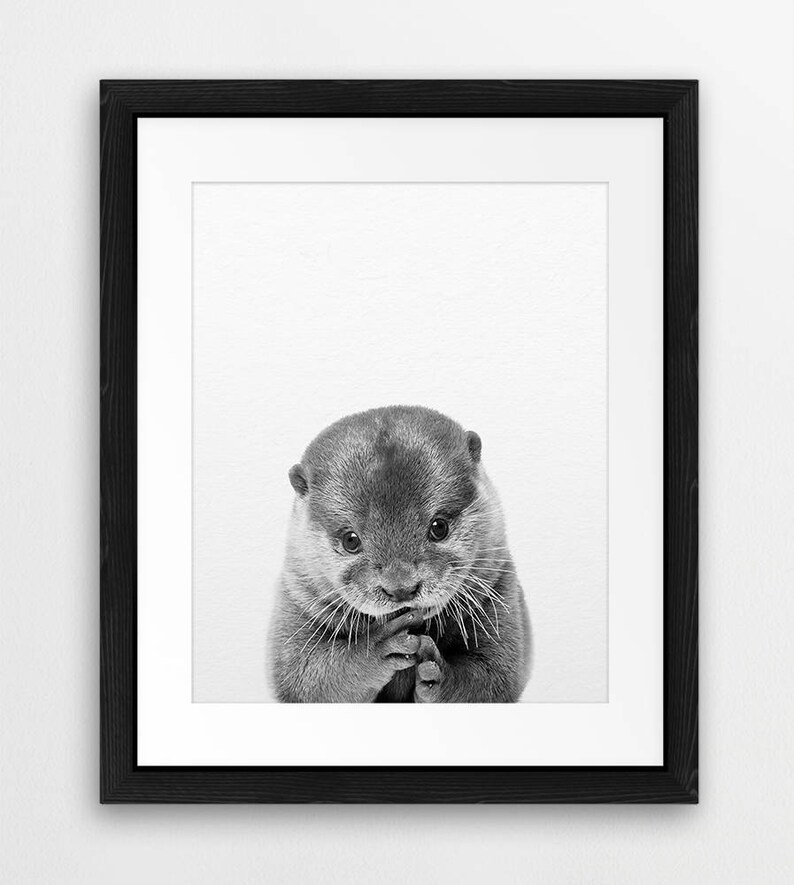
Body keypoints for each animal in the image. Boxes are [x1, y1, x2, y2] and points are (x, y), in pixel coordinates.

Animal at [268, 405, 531, 703]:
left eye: (439, 527)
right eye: (351, 540)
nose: (401, 588)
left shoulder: (500, 592)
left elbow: (494, 677)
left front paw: (437, 672)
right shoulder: (296, 601)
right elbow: (306, 679)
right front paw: (378, 647)